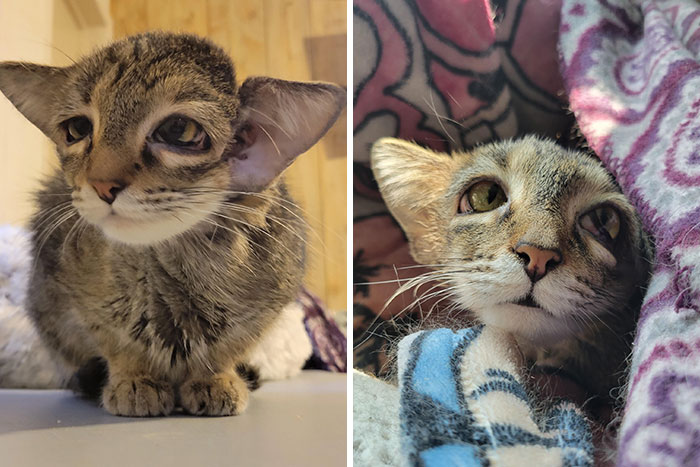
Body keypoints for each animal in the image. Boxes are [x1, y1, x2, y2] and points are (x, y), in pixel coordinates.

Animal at [0, 32, 344, 416]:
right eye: (77, 129)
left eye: (178, 130)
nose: (101, 184)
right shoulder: (73, 293)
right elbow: (116, 344)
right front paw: (135, 379)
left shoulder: (269, 302)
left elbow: (231, 346)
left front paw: (215, 377)